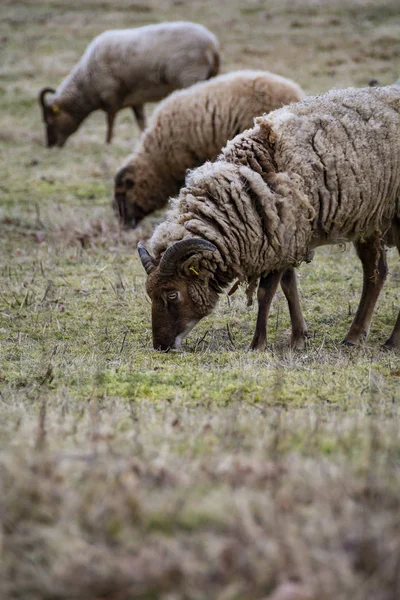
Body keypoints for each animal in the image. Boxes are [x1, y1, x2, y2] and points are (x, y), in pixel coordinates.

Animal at [38, 22, 219, 148]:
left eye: (49, 121)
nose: (51, 145)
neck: (86, 82)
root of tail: (212, 44)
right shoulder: (136, 101)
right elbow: (141, 122)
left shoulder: (110, 97)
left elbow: (110, 122)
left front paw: (108, 143)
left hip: (190, 77)